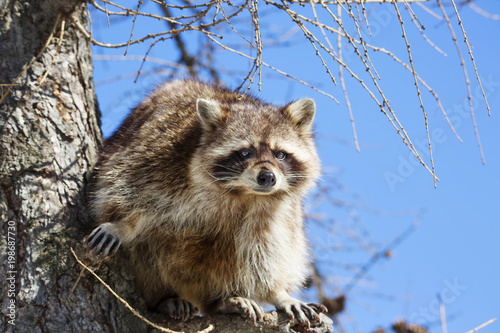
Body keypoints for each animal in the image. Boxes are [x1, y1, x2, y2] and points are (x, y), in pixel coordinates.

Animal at [87, 79, 324, 326]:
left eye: (280, 155)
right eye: (245, 153)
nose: (267, 177)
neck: (243, 193)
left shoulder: (275, 211)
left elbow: (267, 251)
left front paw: (277, 293)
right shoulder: (162, 156)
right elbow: (129, 189)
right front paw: (123, 224)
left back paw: (221, 301)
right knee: (151, 247)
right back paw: (164, 298)